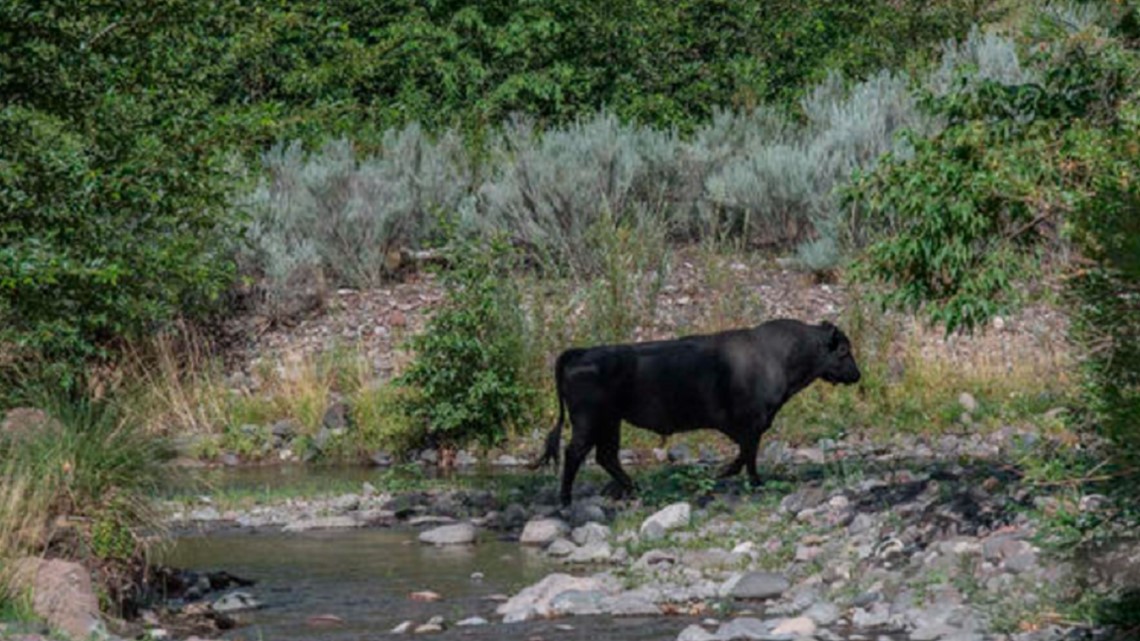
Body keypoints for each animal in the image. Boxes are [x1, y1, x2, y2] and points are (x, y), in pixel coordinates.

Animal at [530, 319, 861, 506]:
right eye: (844, 350)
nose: (856, 375)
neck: (779, 354)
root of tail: (580, 353)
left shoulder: (751, 427)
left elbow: (745, 452)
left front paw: (726, 473)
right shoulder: (753, 423)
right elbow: (749, 454)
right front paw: (747, 479)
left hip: (611, 423)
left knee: (606, 456)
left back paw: (634, 488)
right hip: (590, 423)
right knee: (576, 453)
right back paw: (566, 500)